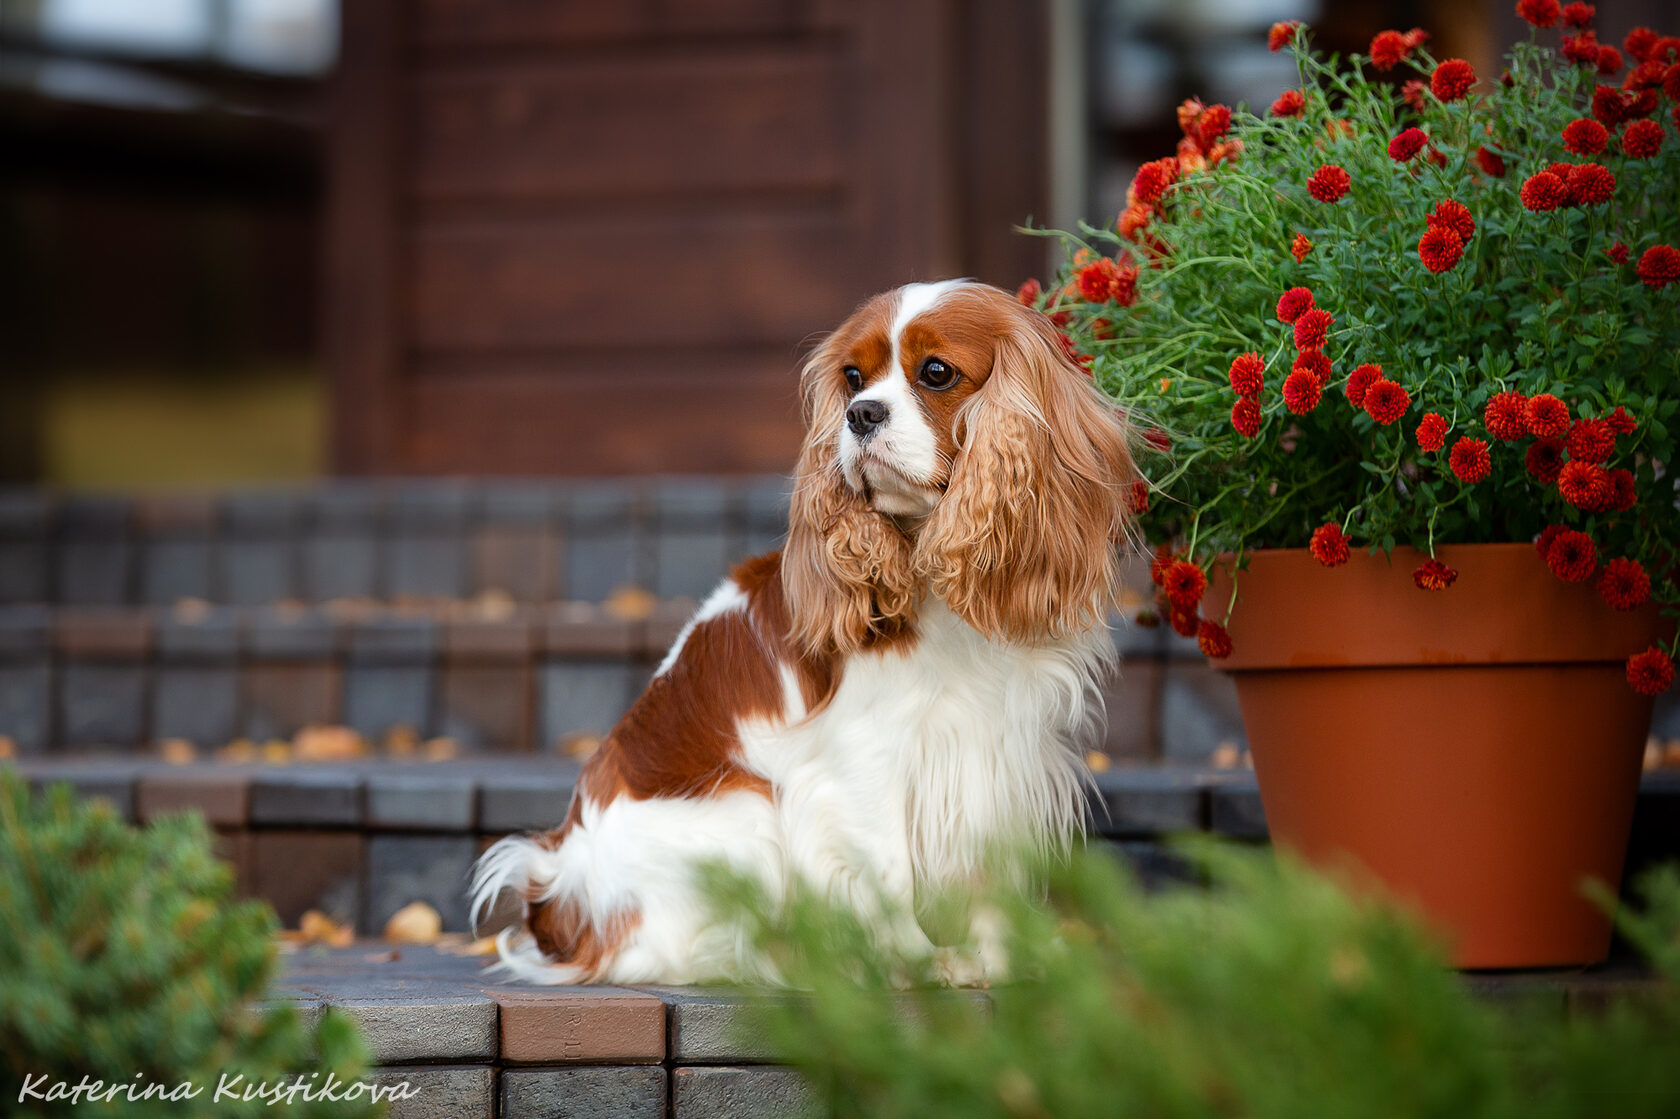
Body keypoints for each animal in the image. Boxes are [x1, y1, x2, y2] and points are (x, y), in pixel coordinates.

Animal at [467, 280, 1135, 987]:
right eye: (852, 378)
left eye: (936, 373)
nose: (861, 415)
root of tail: (561, 895)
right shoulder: (865, 757)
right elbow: (890, 871)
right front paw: (918, 965)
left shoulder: (996, 748)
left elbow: (986, 871)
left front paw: (1002, 959)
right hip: (746, 812)